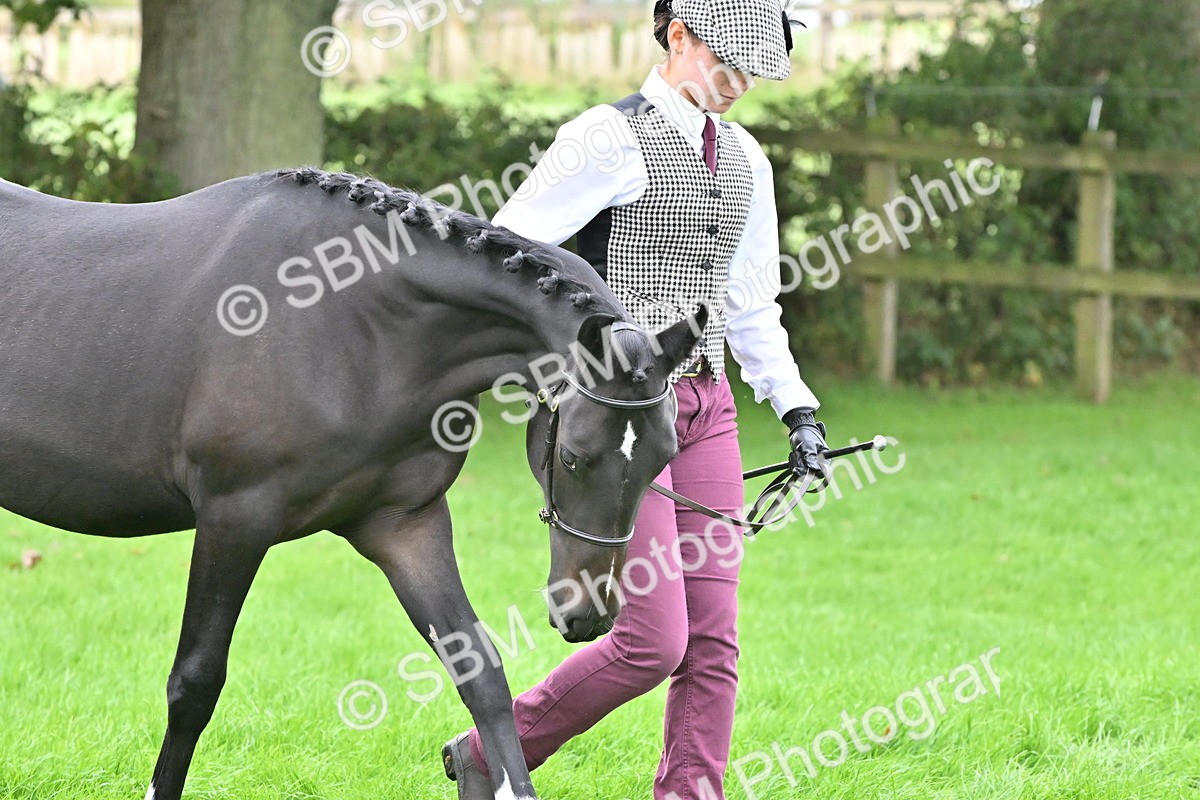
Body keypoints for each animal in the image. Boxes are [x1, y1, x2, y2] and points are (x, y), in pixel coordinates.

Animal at [0, 167, 706, 800]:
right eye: (575, 458)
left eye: (663, 459)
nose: (589, 613)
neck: (354, 325)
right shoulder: (234, 521)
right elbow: (194, 684)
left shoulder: (405, 526)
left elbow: (480, 671)